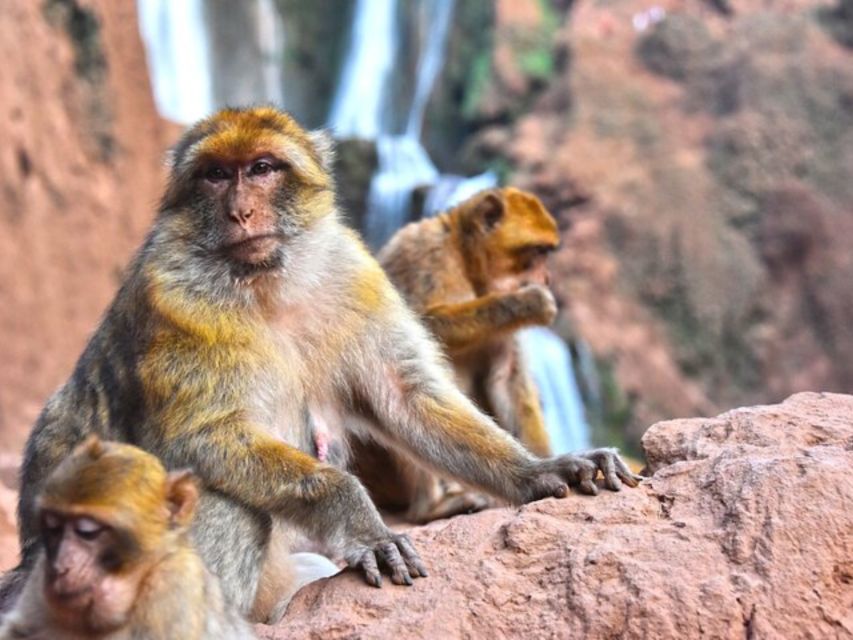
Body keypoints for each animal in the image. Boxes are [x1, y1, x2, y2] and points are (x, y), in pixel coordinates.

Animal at [356, 188, 564, 524]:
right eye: (536, 252)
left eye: (547, 252)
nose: (546, 280)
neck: (466, 263)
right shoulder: (424, 253)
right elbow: (411, 328)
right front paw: (528, 302)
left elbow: (508, 379)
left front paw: (546, 466)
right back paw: (430, 507)